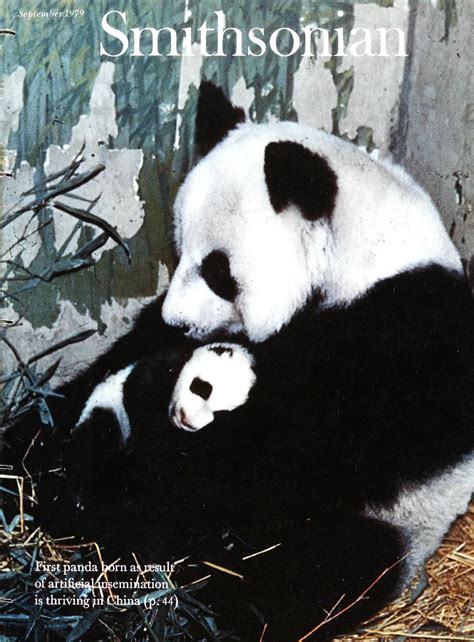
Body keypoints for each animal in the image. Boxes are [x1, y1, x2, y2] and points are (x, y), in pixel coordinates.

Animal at [5, 82, 473, 642]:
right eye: (179, 247)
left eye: (218, 271)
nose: (179, 321)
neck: (367, 259)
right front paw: (52, 458)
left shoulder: (401, 341)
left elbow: (287, 453)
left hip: (385, 524)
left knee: (295, 580)